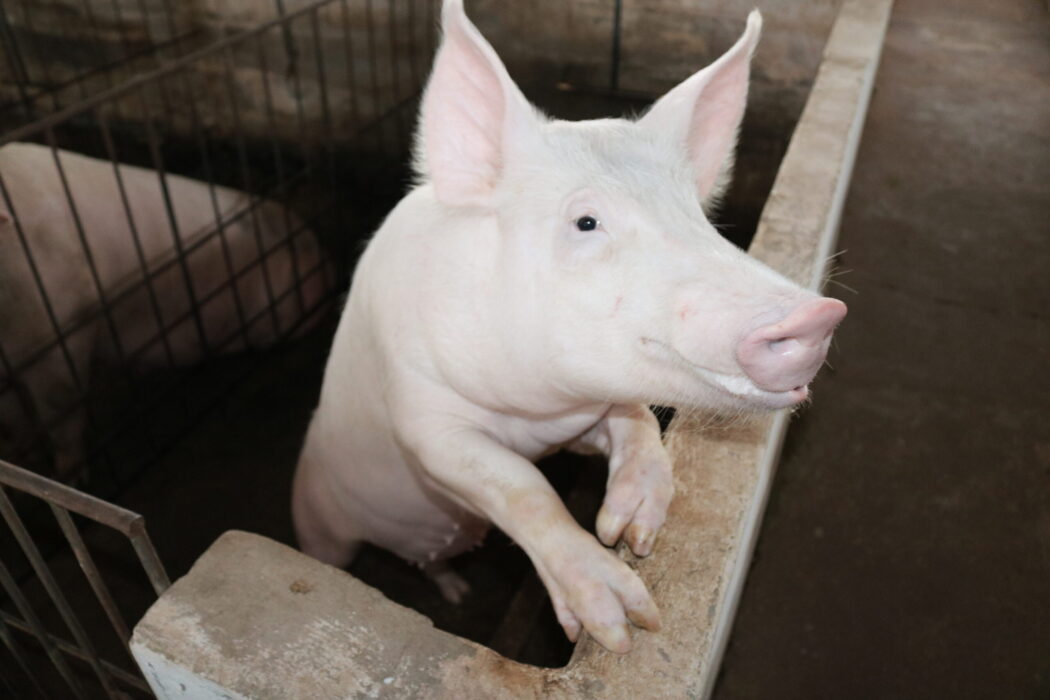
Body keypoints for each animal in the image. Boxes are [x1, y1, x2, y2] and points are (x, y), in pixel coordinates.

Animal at [0, 142, 331, 482]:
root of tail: (319, 252)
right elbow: (12, 416)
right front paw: (18, 454)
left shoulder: (59, 336)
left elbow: (61, 413)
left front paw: (69, 477)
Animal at [291, 0, 848, 659]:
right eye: (586, 222)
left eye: (695, 212)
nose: (817, 315)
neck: (536, 413)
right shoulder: (422, 418)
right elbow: (519, 485)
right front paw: (622, 624)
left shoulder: (584, 418)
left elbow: (637, 423)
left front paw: (630, 529)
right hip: (317, 522)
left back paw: (456, 589)